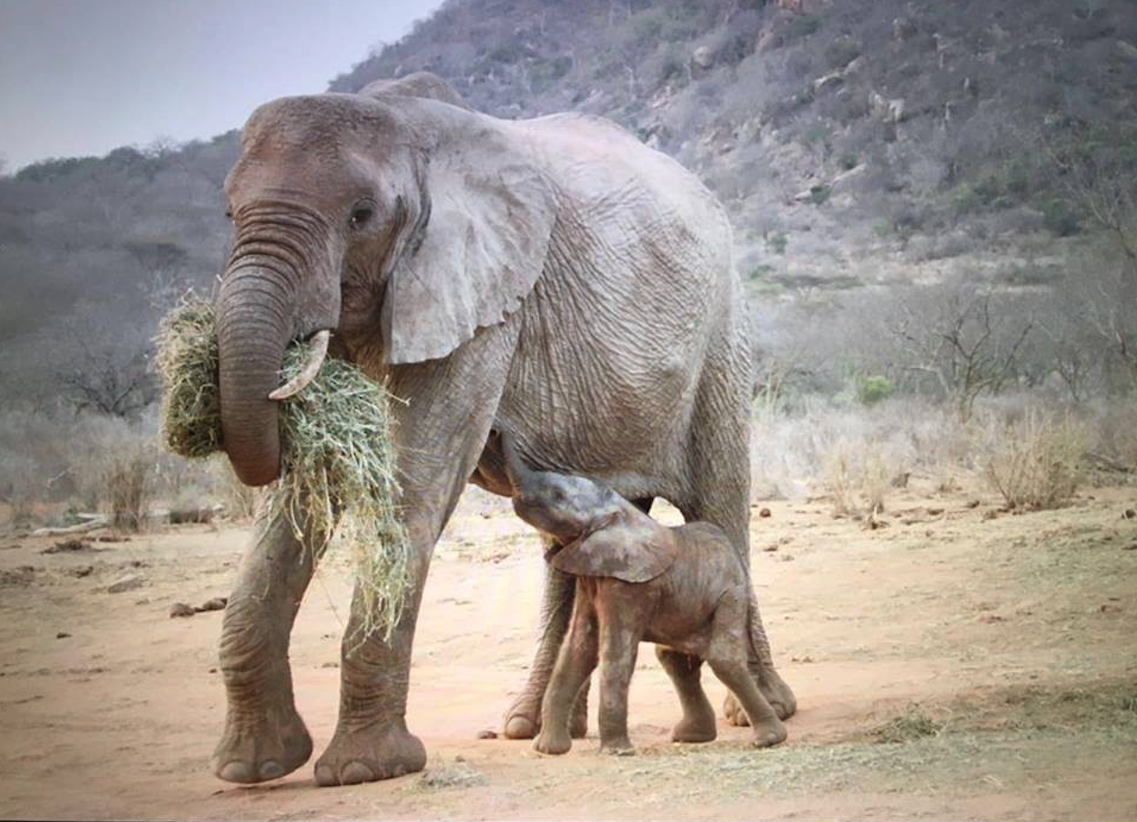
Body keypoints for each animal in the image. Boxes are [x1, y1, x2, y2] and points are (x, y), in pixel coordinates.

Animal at [496, 432, 789, 755]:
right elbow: (579, 649)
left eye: (558, 495)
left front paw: (616, 752)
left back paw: (769, 739)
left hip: (731, 595)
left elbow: (614, 653)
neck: (618, 511)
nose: (496, 433)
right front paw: (548, 750)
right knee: (673, 659)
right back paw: (693, 736)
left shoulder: (629, 589)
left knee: (722, 658)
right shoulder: (592, 576)